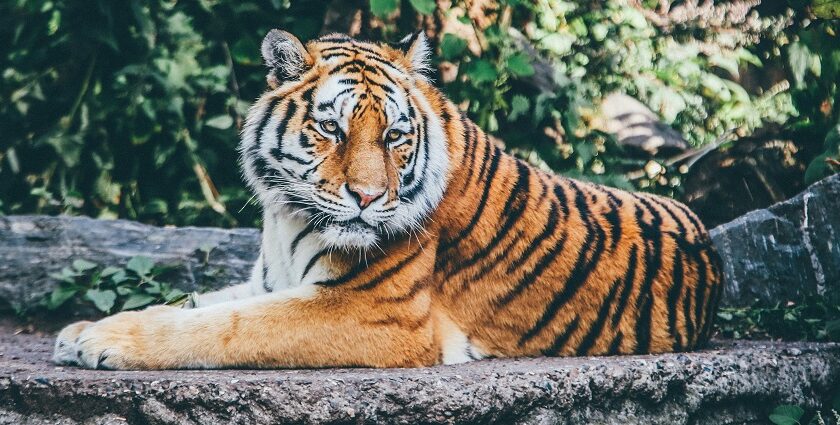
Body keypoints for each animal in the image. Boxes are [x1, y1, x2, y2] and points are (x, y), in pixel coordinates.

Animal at [50, 29, 720, 370]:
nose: (370, 198)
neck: (285, 217)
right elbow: (195, 304)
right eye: (331, 128)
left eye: (395, 136)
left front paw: (101, 342)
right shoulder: (270, 280)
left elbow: (224, 327)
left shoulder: (373, 312)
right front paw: (81, 329)